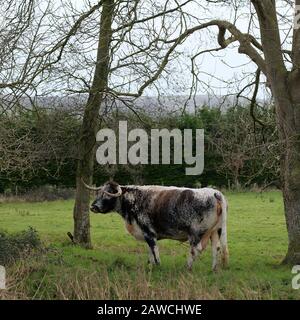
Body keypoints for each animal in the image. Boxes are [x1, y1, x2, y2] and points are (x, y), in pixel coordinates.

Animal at [82, 180, 227, 270]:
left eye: (108, 194)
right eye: (98, 193)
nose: (93, 207)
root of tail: (214, 192)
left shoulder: (149, 232)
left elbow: (154, 250)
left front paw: (158, 266)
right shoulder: (146, 233)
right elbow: (150, 251)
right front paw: (150, 266)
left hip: (196, 233)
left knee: (195, 249)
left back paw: (187, 267)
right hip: (216, 231)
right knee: (216, 248)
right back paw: (213, 269)